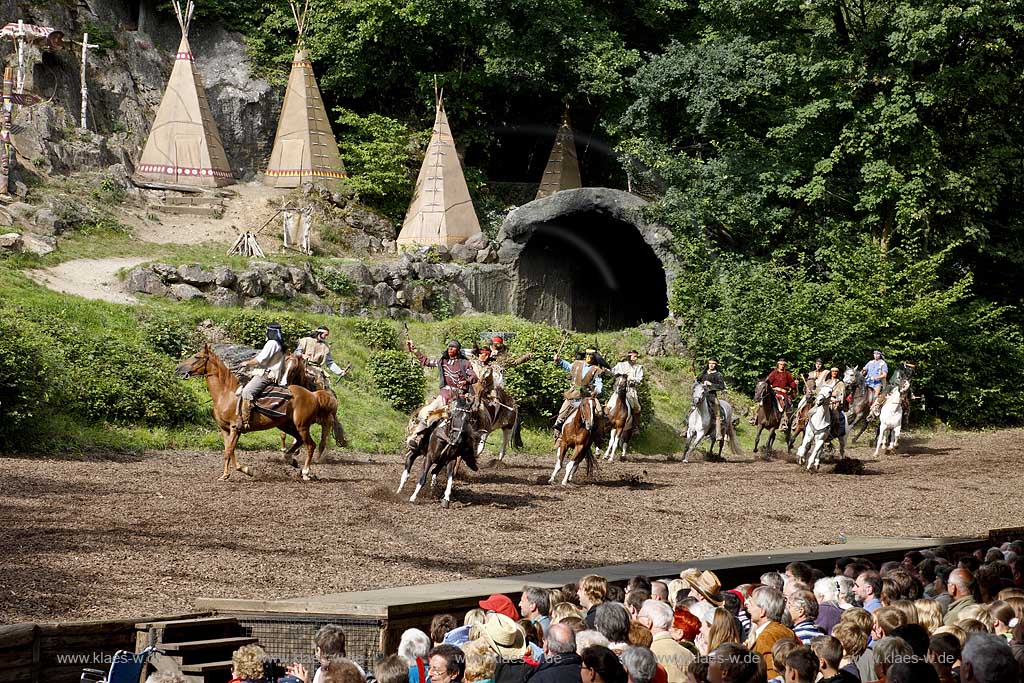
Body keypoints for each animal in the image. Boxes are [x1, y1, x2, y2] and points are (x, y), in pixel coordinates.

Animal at [175, 348, 335, 481]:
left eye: (197, 357)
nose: (177, 368)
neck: (227, 394)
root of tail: (313, 395)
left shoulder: (235, 428)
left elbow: (229, 451)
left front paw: (227, 474)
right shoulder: (225, 429)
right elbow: (229, 451)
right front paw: (242, 471)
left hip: (302, 426)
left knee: (311, 445)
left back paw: (306, 472)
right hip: (287, 425)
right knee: (299, 441)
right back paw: (291, 460)